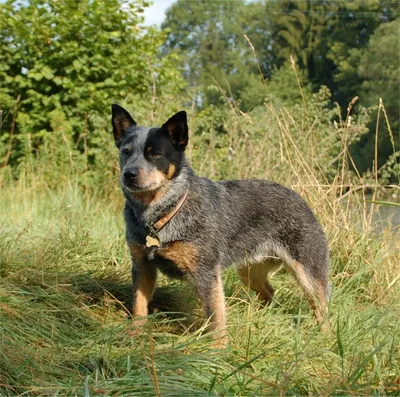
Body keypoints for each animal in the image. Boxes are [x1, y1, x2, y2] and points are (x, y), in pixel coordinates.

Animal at [111, 103, 330, 344]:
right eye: (126, 151)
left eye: (155, 154)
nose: (129, 174)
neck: (164, 213)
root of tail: (300, 199)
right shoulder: (142, 266)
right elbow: (139, 306)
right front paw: (134, 333)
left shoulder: (206, 273)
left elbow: (216, 317)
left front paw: (218, 348)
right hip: (249, 272)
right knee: (269, 292)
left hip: (308, 275)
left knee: (322, 308)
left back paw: (324, 338)